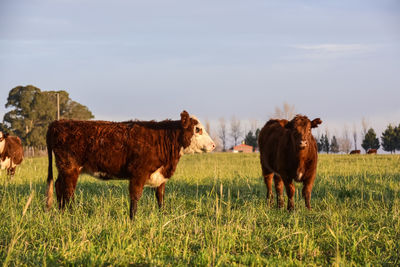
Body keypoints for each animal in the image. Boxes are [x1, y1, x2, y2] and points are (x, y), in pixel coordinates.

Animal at [45, 111, 216, 220]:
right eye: (198, 129)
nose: (214, 145)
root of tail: (58, 122)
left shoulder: (160, 176)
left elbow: (160, 197)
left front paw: (163, 216)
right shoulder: (138, 174)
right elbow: (135, 197)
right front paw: (133, 220)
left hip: (64, 168)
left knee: (59, 186)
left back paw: (61, 213)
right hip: (70, 168)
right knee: (68, 191)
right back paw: (71, 216)